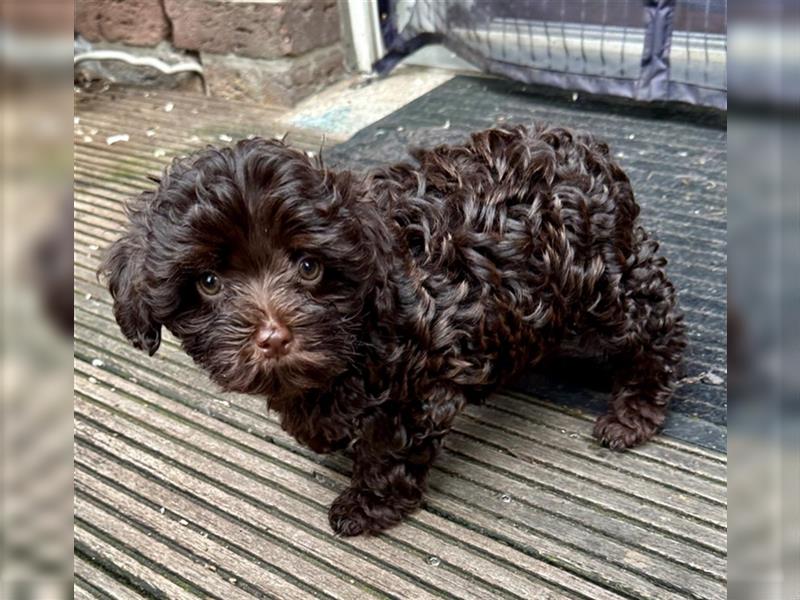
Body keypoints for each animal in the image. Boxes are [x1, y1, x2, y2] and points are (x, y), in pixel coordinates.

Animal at [103, 124, 684, 536]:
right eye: (207, 282)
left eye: (309, 267)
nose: (273, 338)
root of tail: (587, 150)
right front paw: (320, 426)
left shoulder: (419, 382)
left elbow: (387, 446)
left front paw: (367, 506)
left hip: (605, 280)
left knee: (656, 326)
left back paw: (633, 413)